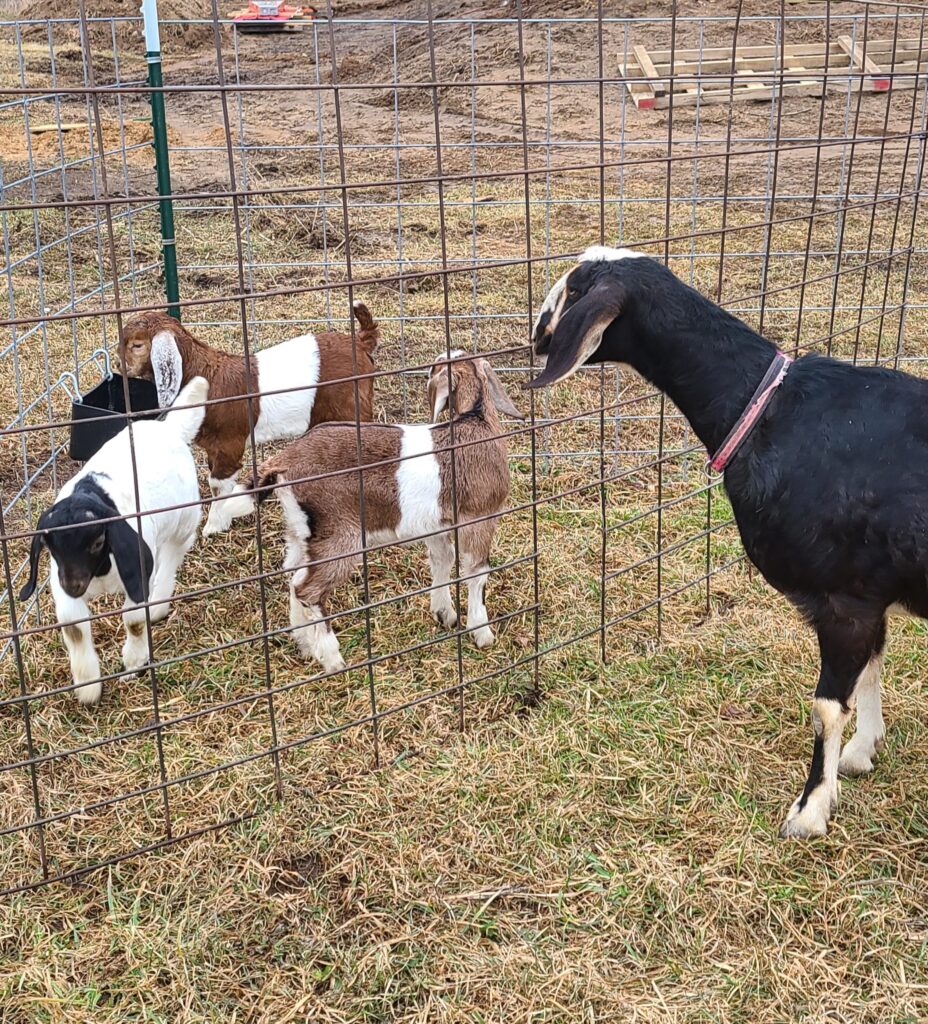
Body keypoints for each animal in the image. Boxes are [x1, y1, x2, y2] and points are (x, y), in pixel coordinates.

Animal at [528, 247, 925, 839]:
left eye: (575, 289)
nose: (536, 335)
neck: (764, 411)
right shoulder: (871, 591)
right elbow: (873, 666)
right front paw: (860, 753)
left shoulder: (844, 598)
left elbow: (827, 706)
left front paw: (809, 811)